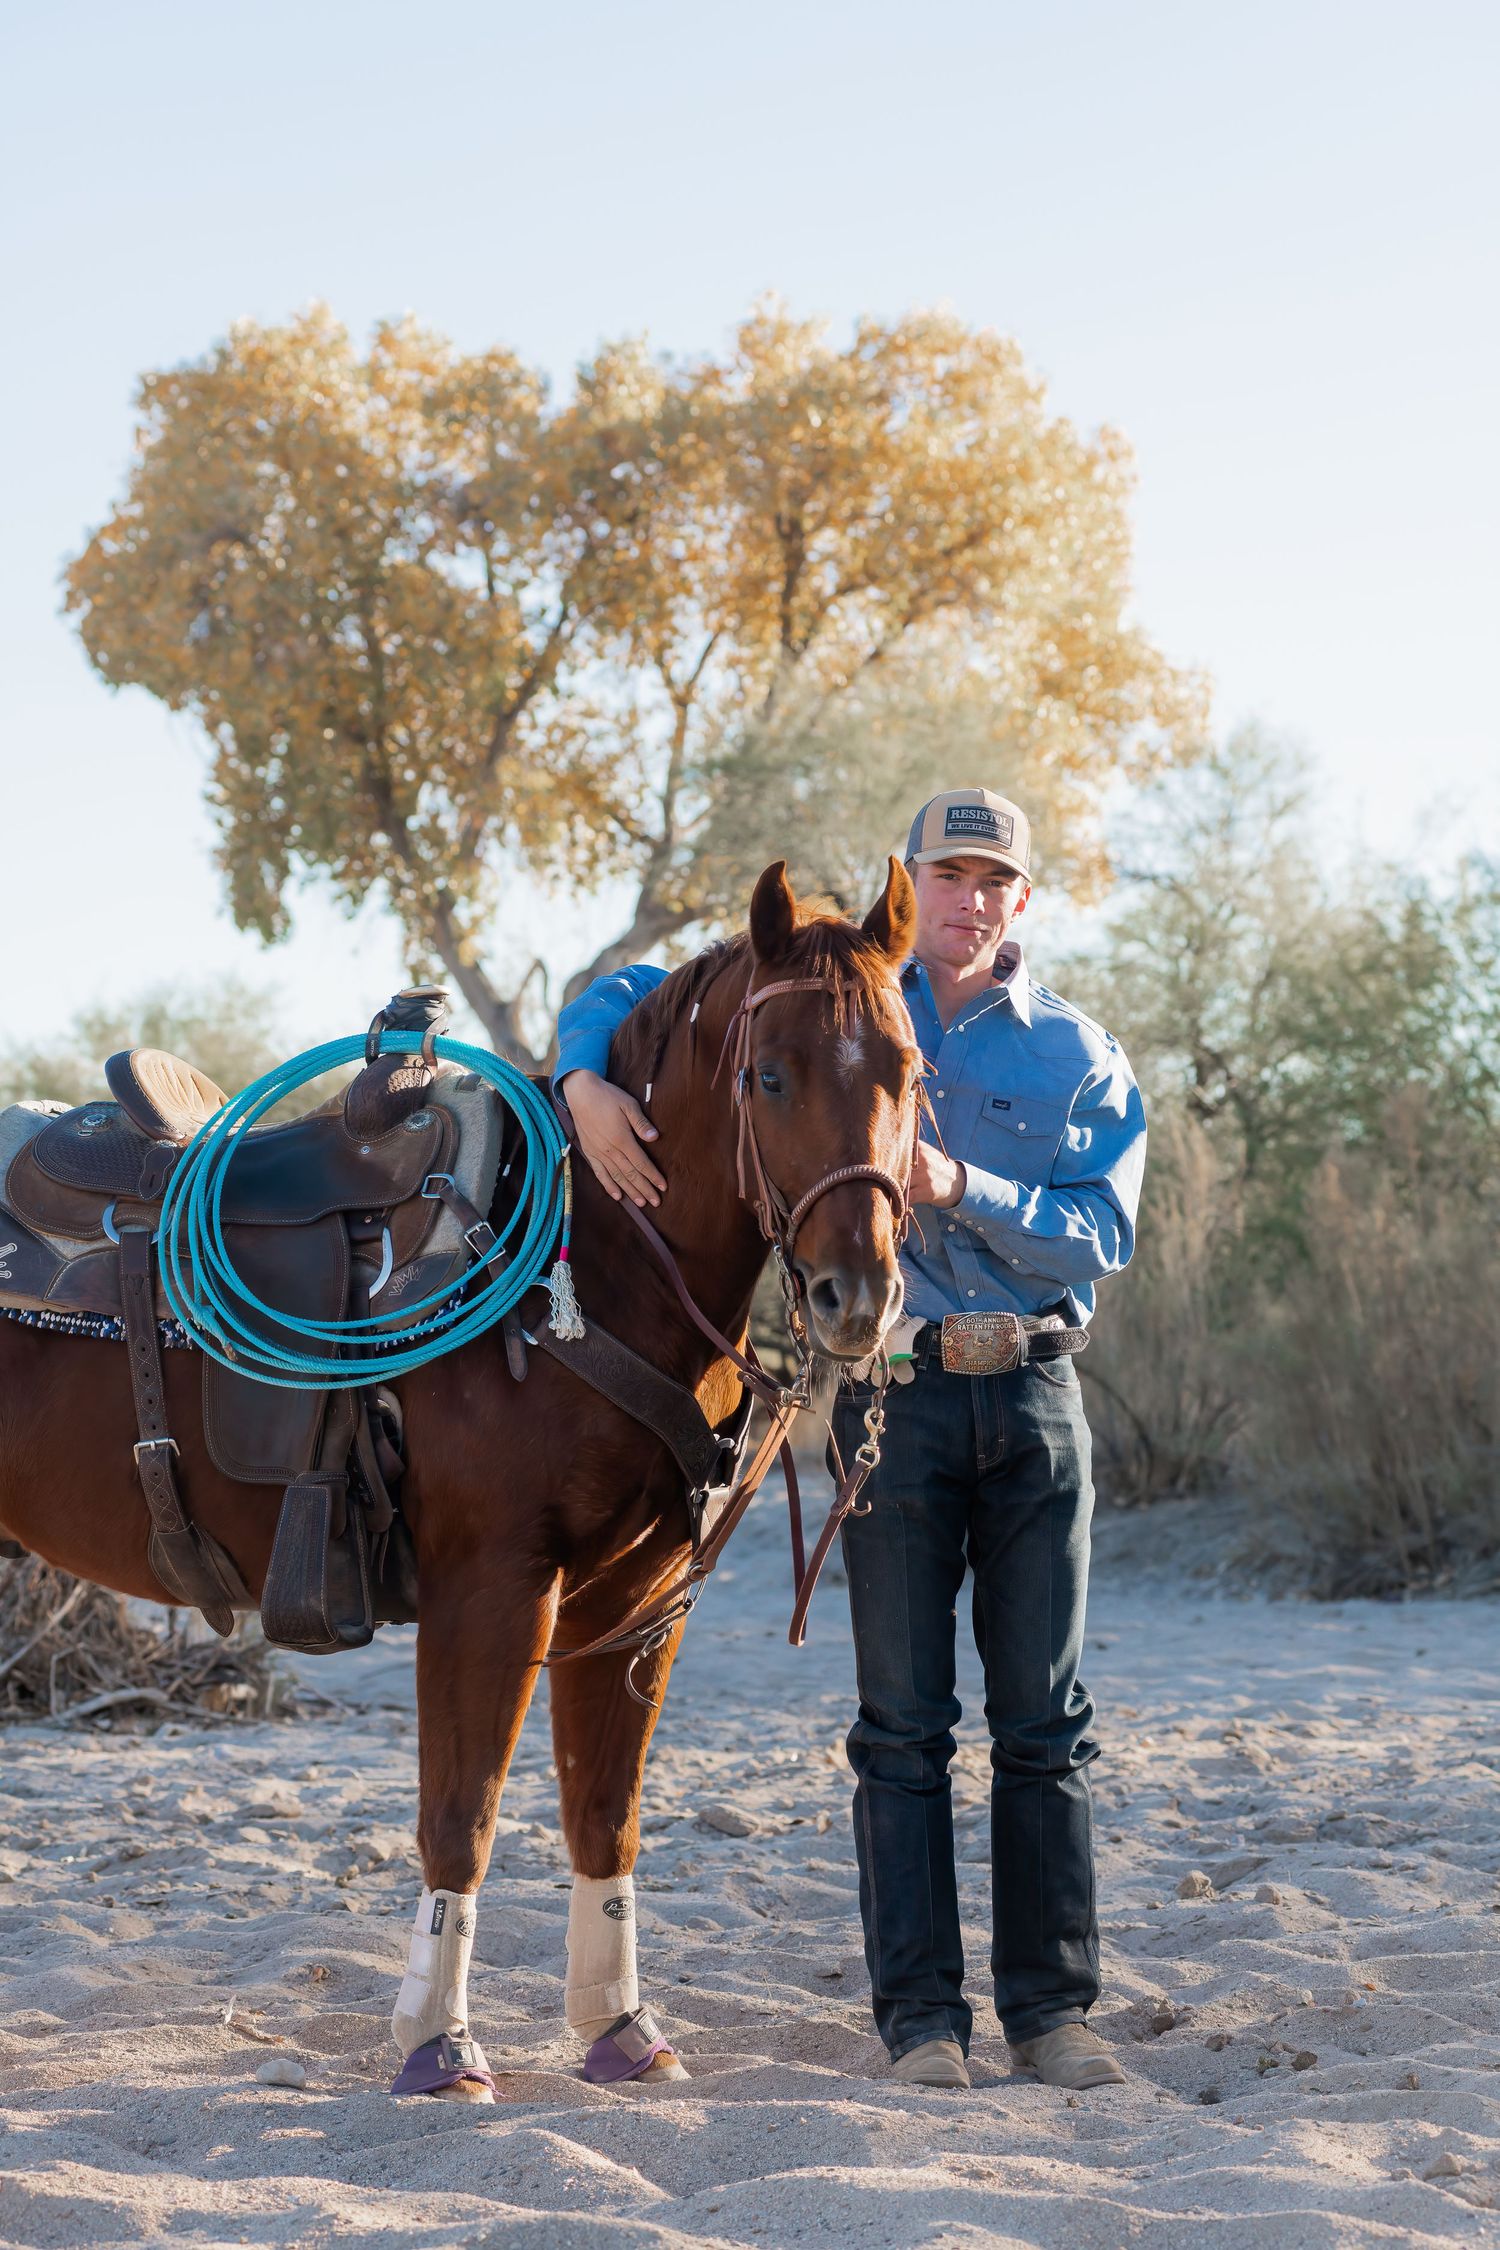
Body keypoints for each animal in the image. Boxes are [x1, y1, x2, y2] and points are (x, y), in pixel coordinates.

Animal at [0, 857, 921, 2096]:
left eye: (910, 1072)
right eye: (771, 1075)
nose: (855, 1296)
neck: (583, 1274)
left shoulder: (634, 1602)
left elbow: (603, 1815)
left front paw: (620, 2028)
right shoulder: (490, 1588)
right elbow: (462, 1816)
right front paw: (439, 2045)